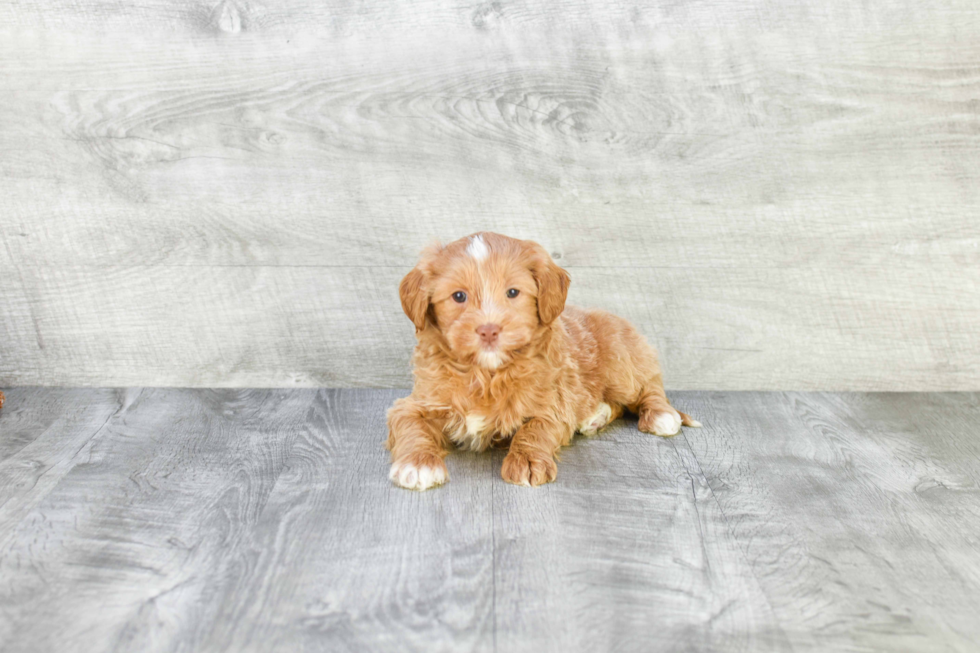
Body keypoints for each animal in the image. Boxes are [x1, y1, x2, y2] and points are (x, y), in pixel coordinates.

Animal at [382, 230, 696, 488]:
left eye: (512, 292)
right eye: (458, 296)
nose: (488, 329)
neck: (486, 374)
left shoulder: (553, 401)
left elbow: (535, 428)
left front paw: (527, 461)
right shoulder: (417, 402)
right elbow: (409, 423)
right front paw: (418, 464)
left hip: (621, 364)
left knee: (648, 387)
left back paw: (660, 415)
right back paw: (595, 417)